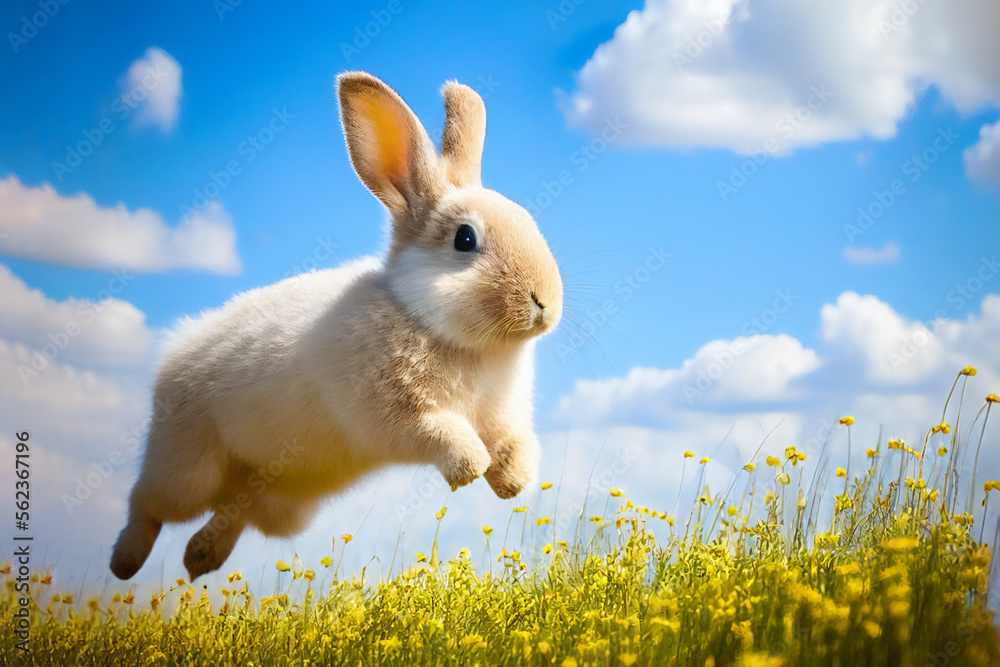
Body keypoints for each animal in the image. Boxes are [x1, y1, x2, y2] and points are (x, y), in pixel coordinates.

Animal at [109, 71, 563, 582]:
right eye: (465, 239)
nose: (546, 301)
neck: (435, 323)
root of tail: (172, 358)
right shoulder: (401, 418)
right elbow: (446, 435)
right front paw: (471, 469)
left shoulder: (501, 418)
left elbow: (511, 444)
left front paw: (512, 483)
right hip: (187, 467)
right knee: (147, 505)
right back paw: (126, 563)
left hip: (285, 501)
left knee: (236, 509)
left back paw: (200, 557)